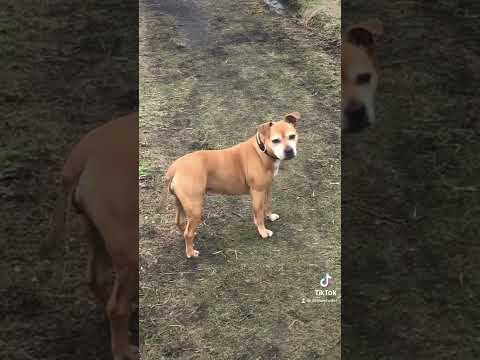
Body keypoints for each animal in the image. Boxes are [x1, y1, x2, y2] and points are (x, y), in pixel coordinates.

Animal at [44, 112, 139, 360]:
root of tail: (83, 153)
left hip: (96, 234)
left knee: (96, 280)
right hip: (130, 250)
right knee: (116, 308)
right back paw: (124, 350)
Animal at [161, 111, 302, 258]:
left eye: (292, 136)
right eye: (275, 140)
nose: (289, 151)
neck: (262, 150)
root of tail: (175, 166)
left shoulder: (267, 187)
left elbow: (267, 204)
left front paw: (269, 216)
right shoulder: (257, 191)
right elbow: (258, 212)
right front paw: (263, 231)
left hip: (181, 203)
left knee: (180, 223)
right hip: (195, 208)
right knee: (187, 233)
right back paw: (191, 252)